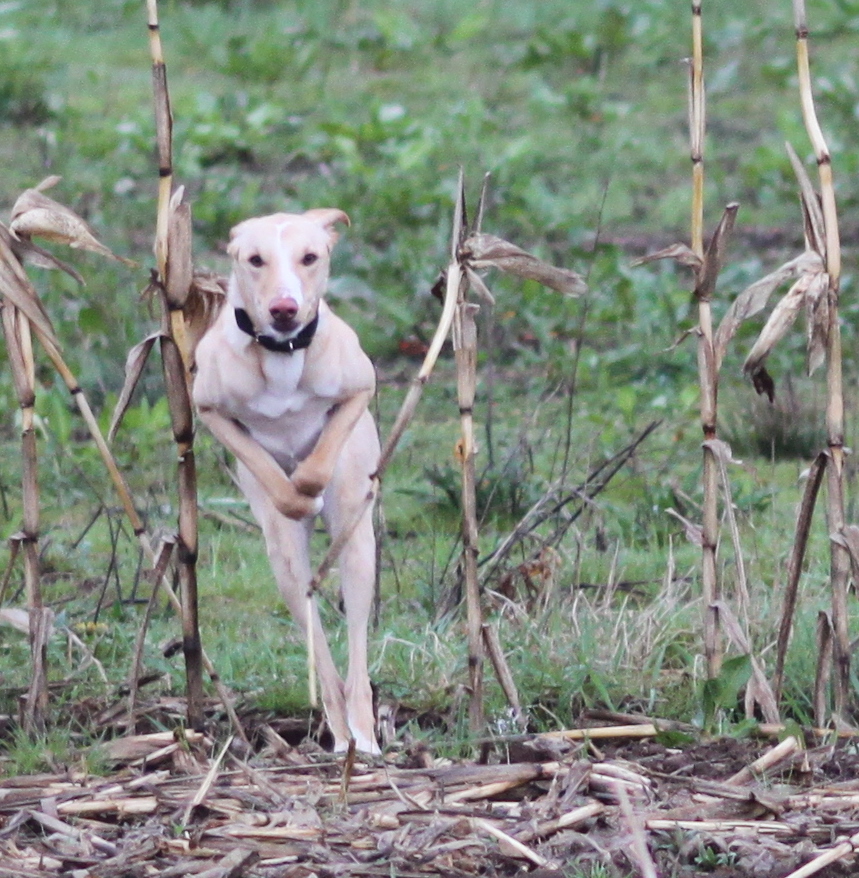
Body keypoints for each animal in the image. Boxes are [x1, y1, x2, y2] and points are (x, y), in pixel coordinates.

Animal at [197, 208, 384, 756]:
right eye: (255, 259)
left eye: (310, 257)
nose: (284, 308)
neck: (281, 355)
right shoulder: (209, 409)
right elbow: (266, 468)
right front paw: (295, 496)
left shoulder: (360, 389)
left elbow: (320, 460)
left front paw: (308, 482)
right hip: (285, 566)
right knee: (316, 636)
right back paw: (341, 731)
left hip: (357, 545)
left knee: (356, 639)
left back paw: (363, 733)